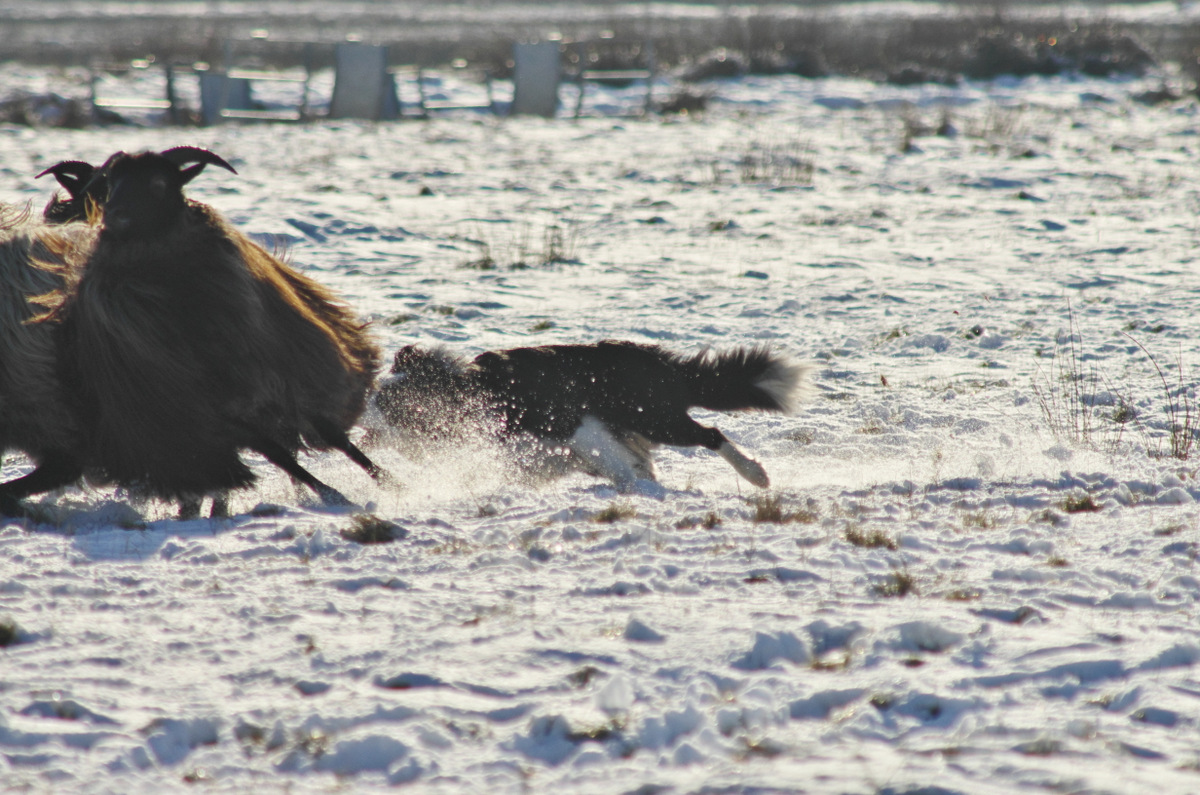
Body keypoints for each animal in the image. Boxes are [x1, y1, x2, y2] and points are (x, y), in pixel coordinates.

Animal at [360, 343, 811, 492]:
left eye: (386, 400)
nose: (356, 403)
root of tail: (663, 364)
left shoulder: (575, 426)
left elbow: (616, 464)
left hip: (655, 418)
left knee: (712, 433)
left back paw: (756, 474)